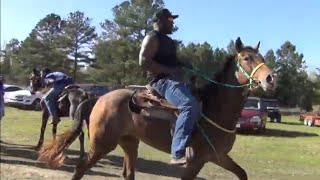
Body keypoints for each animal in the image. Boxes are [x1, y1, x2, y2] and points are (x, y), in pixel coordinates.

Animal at [39, 37, 276, 180]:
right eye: (246, 58)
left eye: (262, 57)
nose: (270, 78)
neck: (214, 110)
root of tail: (99, 98)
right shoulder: (195, 160)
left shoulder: (218, 156)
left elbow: (242, 174)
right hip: (102, 144)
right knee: (81, 168)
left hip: (129, 142)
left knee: (128, 173)